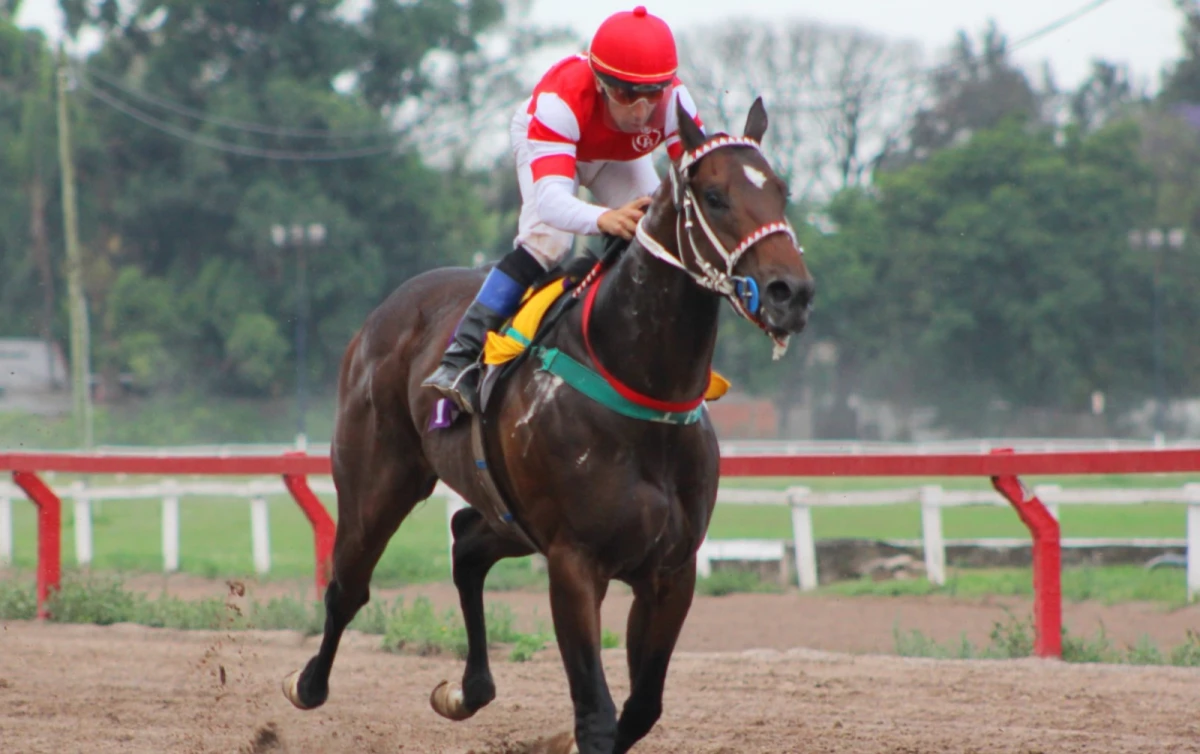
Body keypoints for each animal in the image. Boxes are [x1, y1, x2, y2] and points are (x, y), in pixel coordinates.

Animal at [283, 100, 816, 754]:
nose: (791, 292)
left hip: (510, 513)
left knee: (466, 543)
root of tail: (386, 310)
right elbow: (597, 713)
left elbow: (641, 707)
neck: (640, 388)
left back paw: (466, 691)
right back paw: (308, 683)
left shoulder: (671, 570)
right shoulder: (574, 562)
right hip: (378, 481)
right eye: (714, 196)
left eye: (782, 191)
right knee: (349, 585)